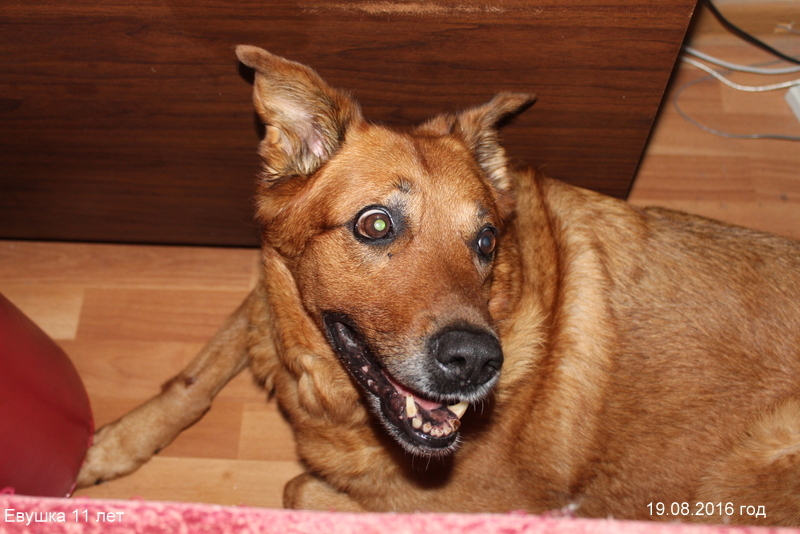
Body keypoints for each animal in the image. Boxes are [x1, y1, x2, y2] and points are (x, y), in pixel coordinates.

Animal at [76, 46, 800, 526]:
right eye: (375, 224)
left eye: (485, 242)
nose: (478, 362)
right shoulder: (266, 294)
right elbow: (192, 379)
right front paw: (107, 446)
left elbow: (297, 488)